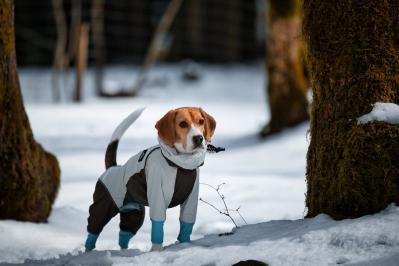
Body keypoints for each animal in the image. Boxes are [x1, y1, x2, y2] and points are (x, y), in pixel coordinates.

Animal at [84, 106, 216, 251]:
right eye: (183, 124)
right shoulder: (158, 197)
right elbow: (158, 224)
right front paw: (157, 251)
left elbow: (186, 223)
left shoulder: (191, 198)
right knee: (93, 231)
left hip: (134, 214)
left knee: (123, 235)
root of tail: (112, 168)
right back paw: (89, 251)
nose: (199, 138)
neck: (179, 165)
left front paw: (185, 244)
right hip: (103, 207)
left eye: (201, 121)